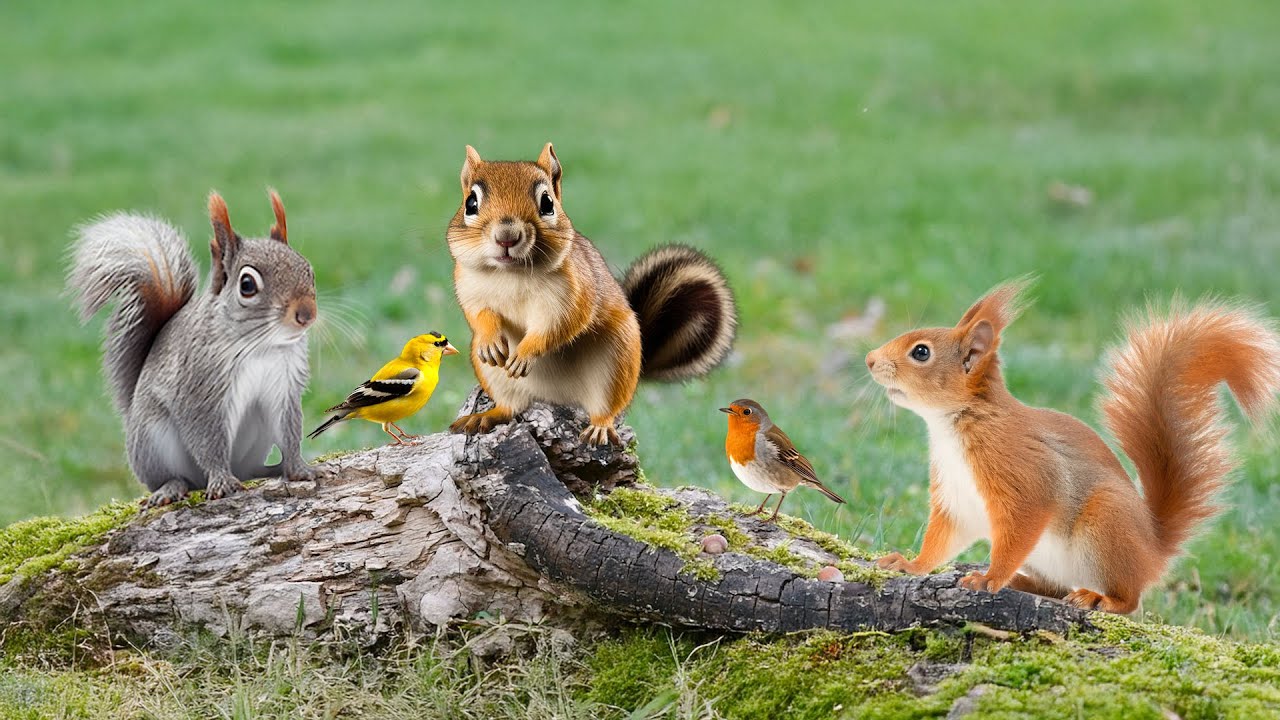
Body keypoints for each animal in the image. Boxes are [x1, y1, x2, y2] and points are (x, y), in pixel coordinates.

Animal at [68, 190, 319, 507]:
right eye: (247, 284)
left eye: (309, 270)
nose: (306, 314)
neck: (262, 347)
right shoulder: (199, 388)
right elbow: (207, 439)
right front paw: (221, 480)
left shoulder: (284, 385)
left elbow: (289, 429)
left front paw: (298, 469)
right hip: (154, 440)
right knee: (174, 477)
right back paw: (172, 486)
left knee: (248, 469)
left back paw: (270, 469)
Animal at [445, 143, 737, 445]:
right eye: (471, 203)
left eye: (547, 203)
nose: (507, 236)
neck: (510, 274)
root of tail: (556, 398)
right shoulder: (469, 288)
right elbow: (478, 314)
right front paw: (489, 340)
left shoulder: (572, 293)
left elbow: (559, 324)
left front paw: (526, 352)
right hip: (495, 376)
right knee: (510, 406)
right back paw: (485, 416)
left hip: (615, 363)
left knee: (605, 408)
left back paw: (599, 427)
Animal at [865, 279, 1280, 613]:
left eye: (921, 352)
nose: (869, 359)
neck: (954, 424)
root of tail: (1153, 550)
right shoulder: (955, 496)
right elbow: (943, 539)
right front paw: (910, 565)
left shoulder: (1022, 474)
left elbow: (1021, 524)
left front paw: (989, 579)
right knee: (1053, 586)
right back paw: (1027, 583)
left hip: (1107, 526)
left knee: (1131, 599)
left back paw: (1101, 598)